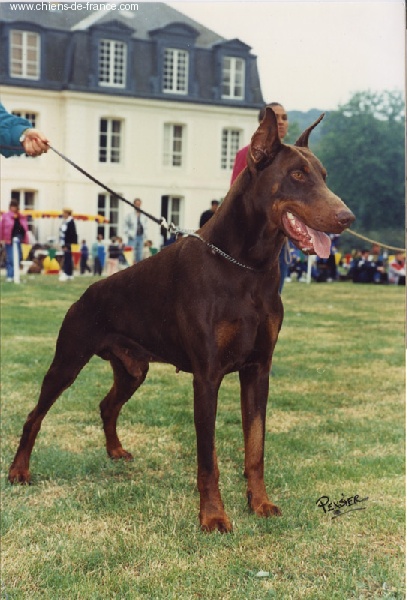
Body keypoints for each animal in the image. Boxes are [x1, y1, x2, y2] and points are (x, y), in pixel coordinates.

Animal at [7, 106, 356, 528]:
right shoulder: (207, 375)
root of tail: (88, 291)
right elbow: (208, 458)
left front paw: (259, 503)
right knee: (35, 414)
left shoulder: (258, 369)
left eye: (323, 175)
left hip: (133, 369)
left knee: (107, 405)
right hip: (69, 358)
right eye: (297, 175)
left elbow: (255, 447)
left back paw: (115, 451)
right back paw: (19, 470)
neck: (247, 268)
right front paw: (214, 517)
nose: (347, 217)